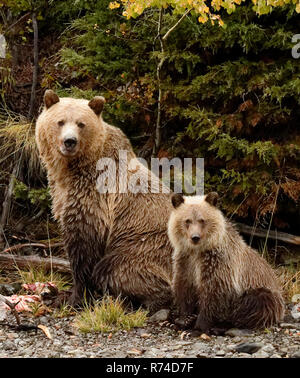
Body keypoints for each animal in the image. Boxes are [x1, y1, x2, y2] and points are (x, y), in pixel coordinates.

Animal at [34, 91, 172, 310]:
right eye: (60, 121)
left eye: (81, 123)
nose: (69, 141)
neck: (71, 170)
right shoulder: (62, 194)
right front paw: (58, 293)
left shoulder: (96, 196)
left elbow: (83, 245)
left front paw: (74, 297)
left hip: (144, 246)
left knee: (114, 269)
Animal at [168, 193, 284, 332]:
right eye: (187, 220)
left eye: (202, 220)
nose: (195, 237)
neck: (198, 251)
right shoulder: (185, 261)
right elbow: (184, 288)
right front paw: (184, 319)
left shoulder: (218, 264)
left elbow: (214, 293)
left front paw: (200, 324)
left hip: (264, 291)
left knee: (256, 303)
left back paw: (222, 326)